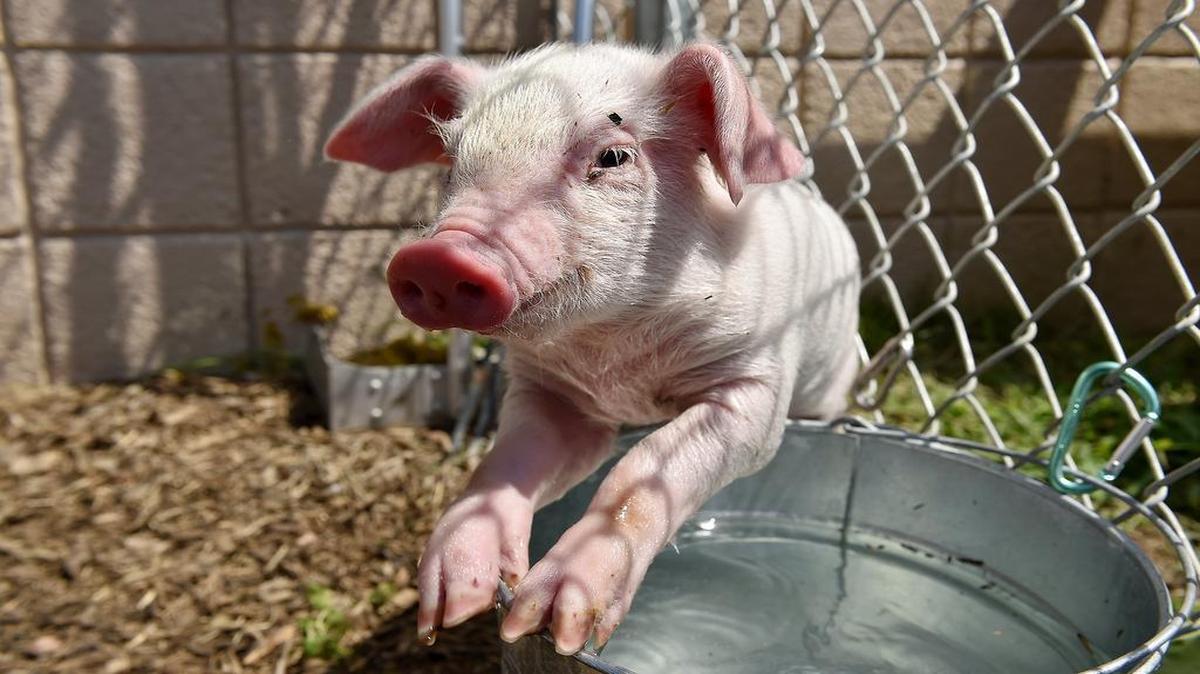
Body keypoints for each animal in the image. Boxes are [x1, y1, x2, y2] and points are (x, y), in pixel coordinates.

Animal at [324, 42, 861, 655]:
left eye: (613, 156)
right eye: (453, 158)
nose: (435, 257)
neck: (614, 355)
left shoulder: (753, 385)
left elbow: (642, 468)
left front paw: (553, 623)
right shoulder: (555, 396)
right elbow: (505, 464)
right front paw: (456, 604)